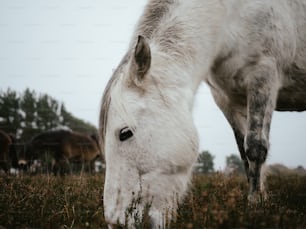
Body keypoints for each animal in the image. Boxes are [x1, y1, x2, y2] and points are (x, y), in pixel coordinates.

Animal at [100, 0, 306, 227]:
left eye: (124, 133)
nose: (116, 222)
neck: (231, 16)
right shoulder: (226, 98)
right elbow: (243, 153)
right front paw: (259, 200)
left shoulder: (263, 77)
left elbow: (255, 148)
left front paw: (255, 206)